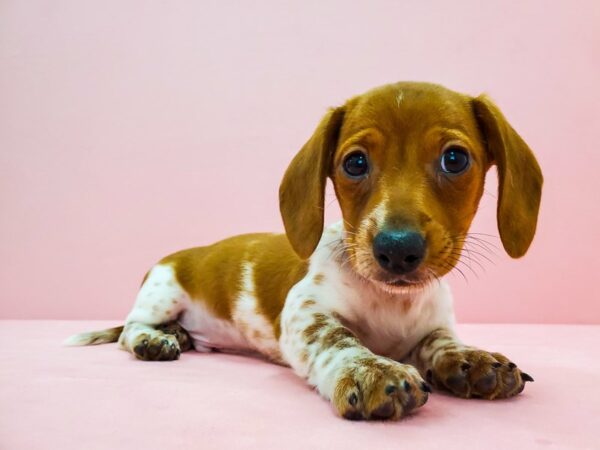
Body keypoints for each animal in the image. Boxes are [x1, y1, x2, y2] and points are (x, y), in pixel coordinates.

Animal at [68, 81, 540, 422]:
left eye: (455, 159)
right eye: (355, 163)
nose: (397, 249)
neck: (392, 301)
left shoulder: (432, 326)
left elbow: (440, 343)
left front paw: (471, 359)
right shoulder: (304, 313)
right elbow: (338, 338)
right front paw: (372, 369)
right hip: (161, 293)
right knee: (129, 330)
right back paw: (154, 339)